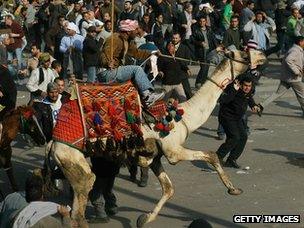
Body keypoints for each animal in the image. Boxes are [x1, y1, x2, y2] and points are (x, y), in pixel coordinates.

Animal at [45, 49, 266, 227]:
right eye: (244, 54)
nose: (262, 55)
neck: (184, 116)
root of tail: (53, 143)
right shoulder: (173, 151)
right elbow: (210, 155)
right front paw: (234, 189)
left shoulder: (155, 157)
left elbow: (169, 189)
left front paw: (144, 219)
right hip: (72, 158)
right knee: (83, 195)